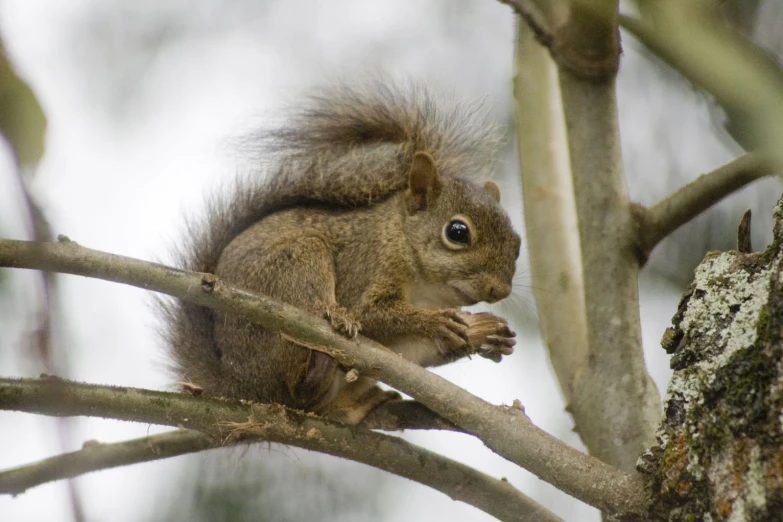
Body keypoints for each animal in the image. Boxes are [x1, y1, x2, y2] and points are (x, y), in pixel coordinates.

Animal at [161, 80, 520, 422]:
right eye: (457, 232)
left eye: (517, 246)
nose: (500, 290)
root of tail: (240, 386)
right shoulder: (367, 265)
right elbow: (370, 313)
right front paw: (436, 322)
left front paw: (484, 333)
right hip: (297, 266)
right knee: (296, 387)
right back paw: (324, 348)